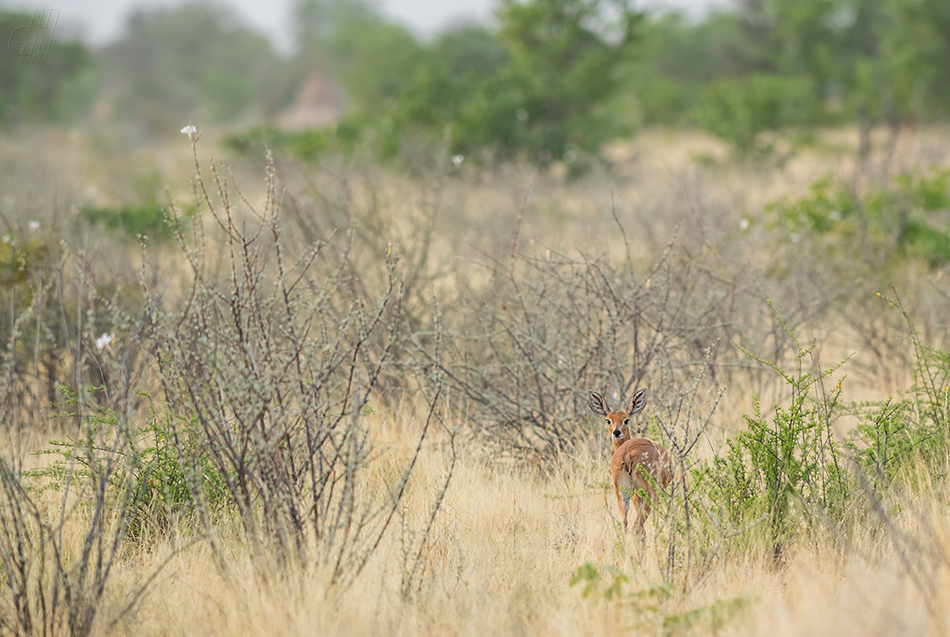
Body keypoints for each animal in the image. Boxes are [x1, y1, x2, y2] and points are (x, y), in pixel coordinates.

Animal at [584, 388, 672, 536]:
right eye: (608, 420)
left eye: (626, 420)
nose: (616, 432)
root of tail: (627, 454)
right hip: (647, 492)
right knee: (639, 525)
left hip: (622, 491)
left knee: (625, 523)